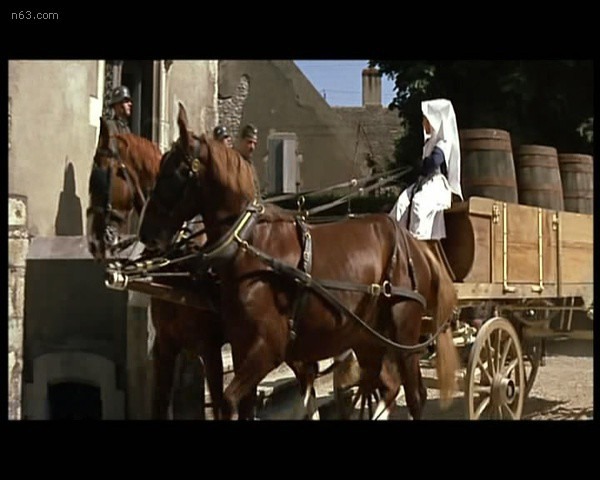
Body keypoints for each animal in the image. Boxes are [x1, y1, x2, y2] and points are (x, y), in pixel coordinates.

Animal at [139, 102, 460, 420]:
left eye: (177, 172)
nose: (147, 234)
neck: (251, 244)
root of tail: (414, 243)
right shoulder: (238, 347)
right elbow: (240, 405)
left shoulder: (265, 349)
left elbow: (227, 402)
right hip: (366, 337)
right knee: (382, 384)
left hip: (404, 337)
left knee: (414, 395)